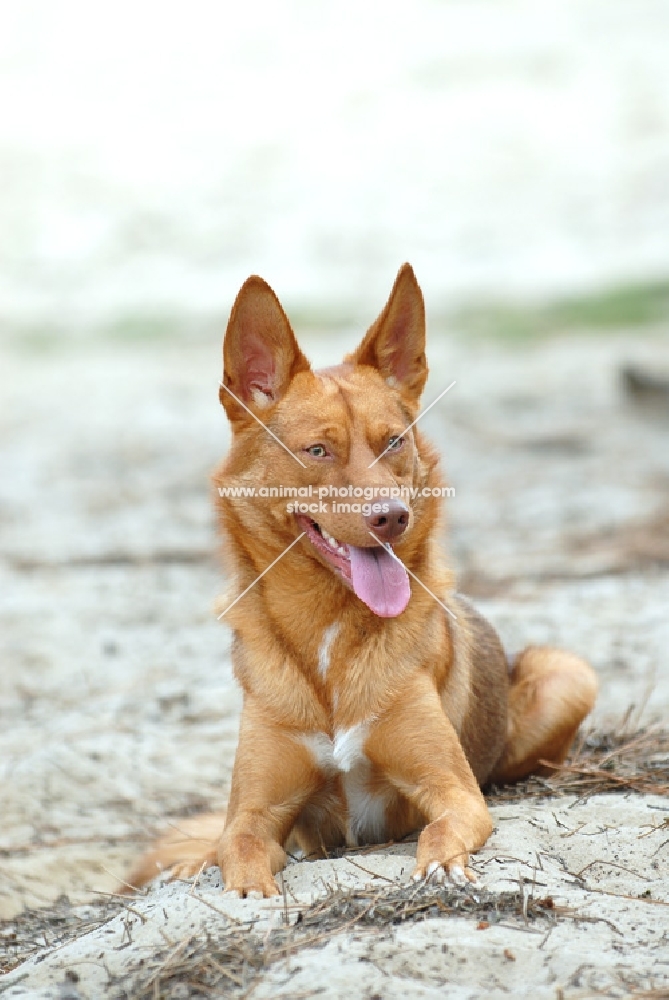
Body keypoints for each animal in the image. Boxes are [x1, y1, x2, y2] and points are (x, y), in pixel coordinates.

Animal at [125, 262, 596, 896]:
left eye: (392, 441)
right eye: (318, 450)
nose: (392, 517)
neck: (328, 622)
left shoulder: (455, 793)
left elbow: (440, 829)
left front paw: (441, 869)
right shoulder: (259, 812)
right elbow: (238, 844)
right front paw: (246, 889)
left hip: (567, 676)